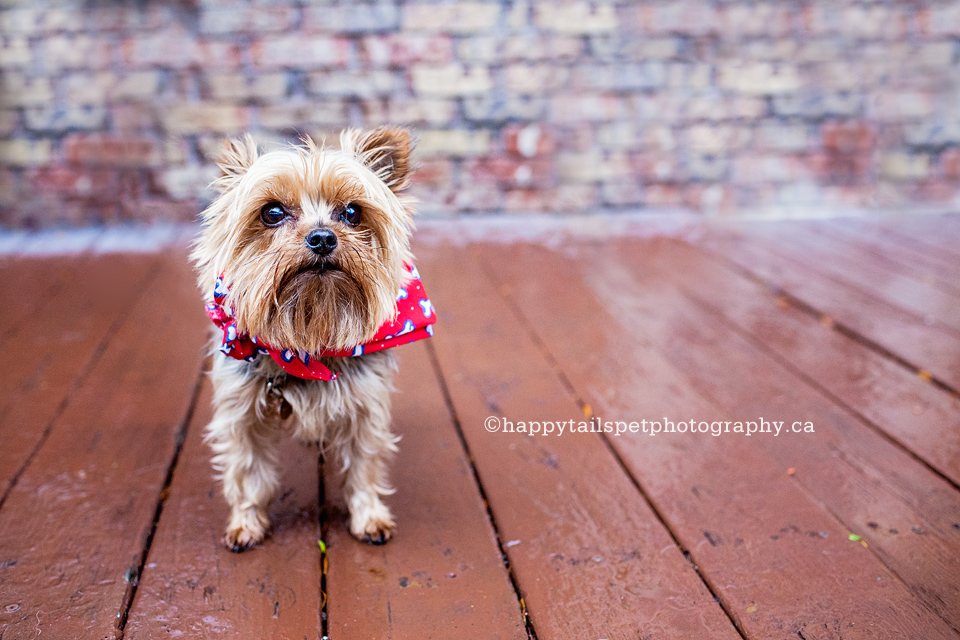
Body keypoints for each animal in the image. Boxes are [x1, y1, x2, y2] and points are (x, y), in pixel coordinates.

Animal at [189, 129, 434, 552]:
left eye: (352, 212)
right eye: (272, 213)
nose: (322, 237)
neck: (307, 340)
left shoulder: (365, 406)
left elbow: (364, 465)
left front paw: (369, 517)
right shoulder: (240, 411)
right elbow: (248, 469)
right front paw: (246, 523)